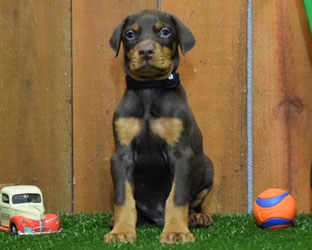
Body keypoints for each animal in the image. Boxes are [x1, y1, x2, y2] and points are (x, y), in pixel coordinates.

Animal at [105, 9, 214, 244]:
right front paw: (121, 231)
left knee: (194, 202)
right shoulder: (122, 156)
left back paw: (196, 217)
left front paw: (177, 231)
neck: (150, 89)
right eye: (130, 34)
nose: (146, 51)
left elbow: (178, 198)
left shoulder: (182, 154)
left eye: (165, 32)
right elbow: (123, 199)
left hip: (208, 168)